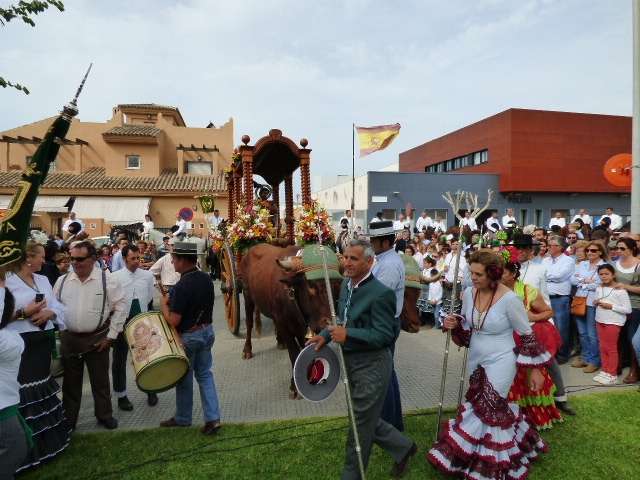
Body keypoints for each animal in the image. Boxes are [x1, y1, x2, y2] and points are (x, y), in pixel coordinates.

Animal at [237, 243, 341, 398]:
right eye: (311, 285)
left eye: (336, 285)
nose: (327, 324)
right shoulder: (286, 326)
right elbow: (294, 353)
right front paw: (294, 386)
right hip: (247, 296)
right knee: (249, 324)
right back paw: (247, 350)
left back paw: (280, 343)